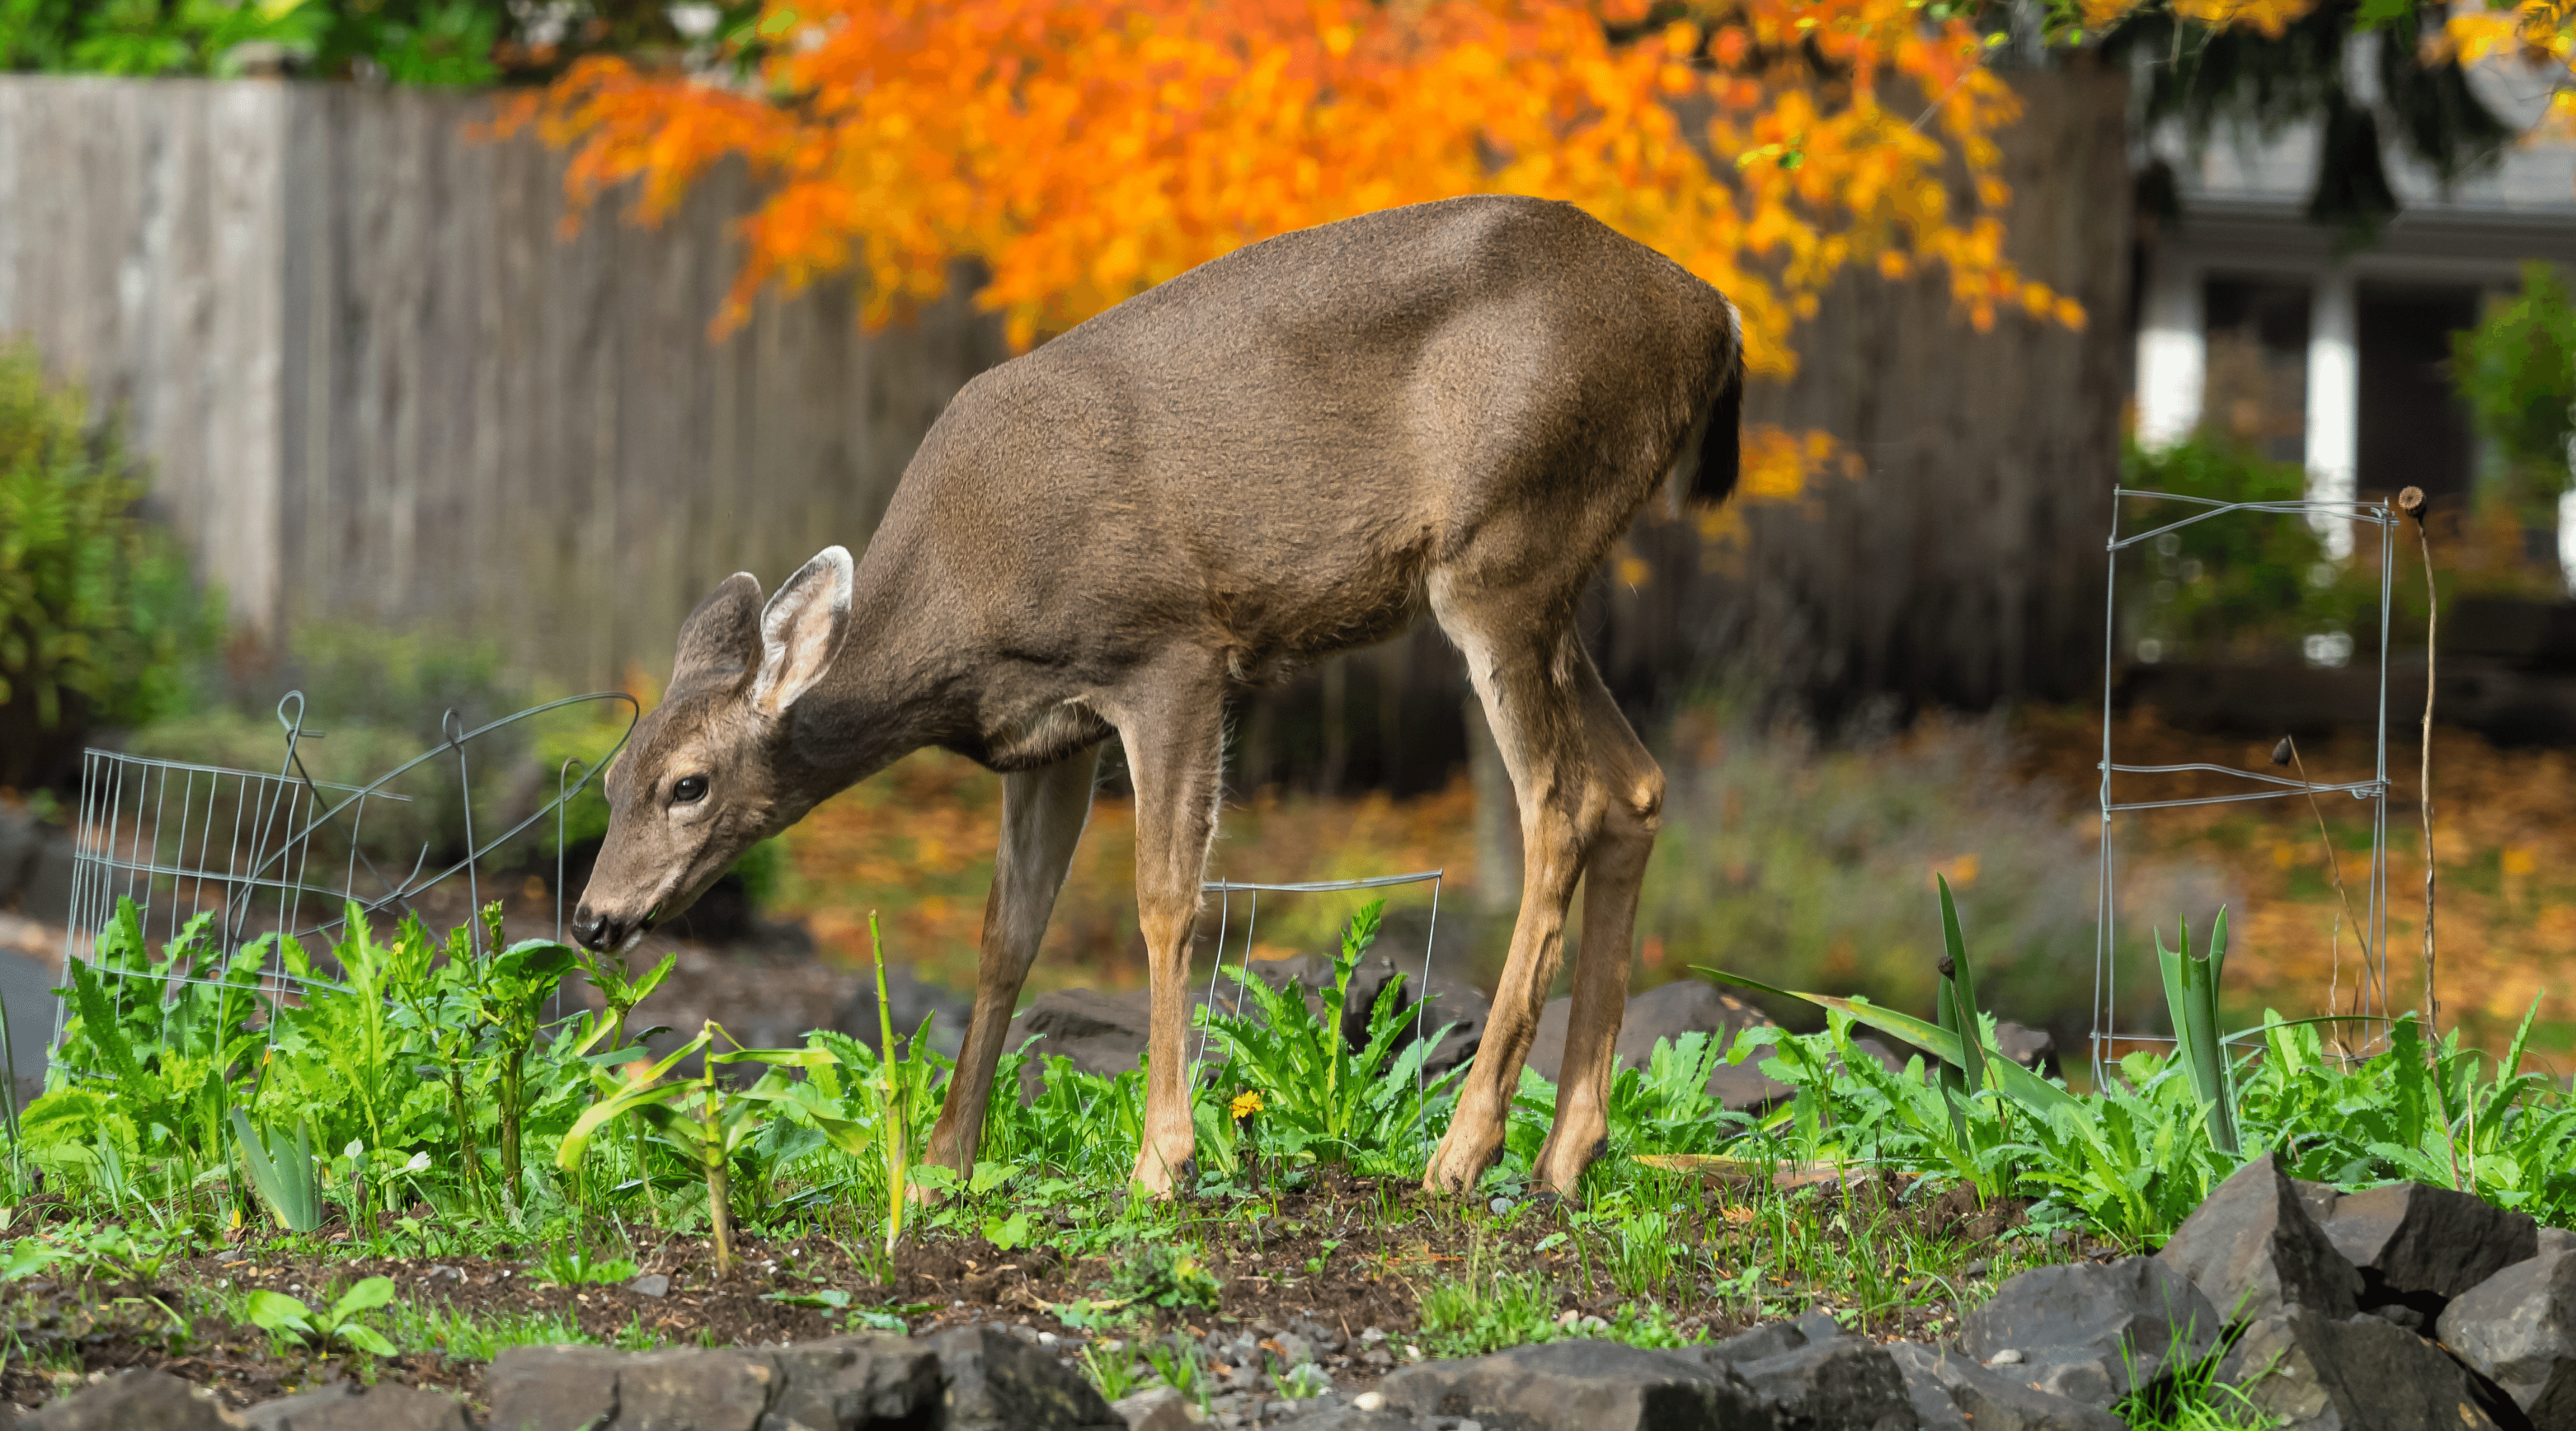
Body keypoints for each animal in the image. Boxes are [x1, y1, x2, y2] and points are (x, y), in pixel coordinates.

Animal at [567, 190, 1741, 1194]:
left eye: (688, 784)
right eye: (610, 781)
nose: (592, 917)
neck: (963, 609)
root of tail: (1713, 316)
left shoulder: (1171, 653)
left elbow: (1167, 901)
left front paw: (1162, 1160)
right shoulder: (1047, 735)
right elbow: (1007, 932)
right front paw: (945, 1163)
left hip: (1504, 546)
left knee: (1561, 803)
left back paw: (1463, 1152)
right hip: (1551, 574)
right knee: (1636, 786)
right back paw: (1565, 1154)